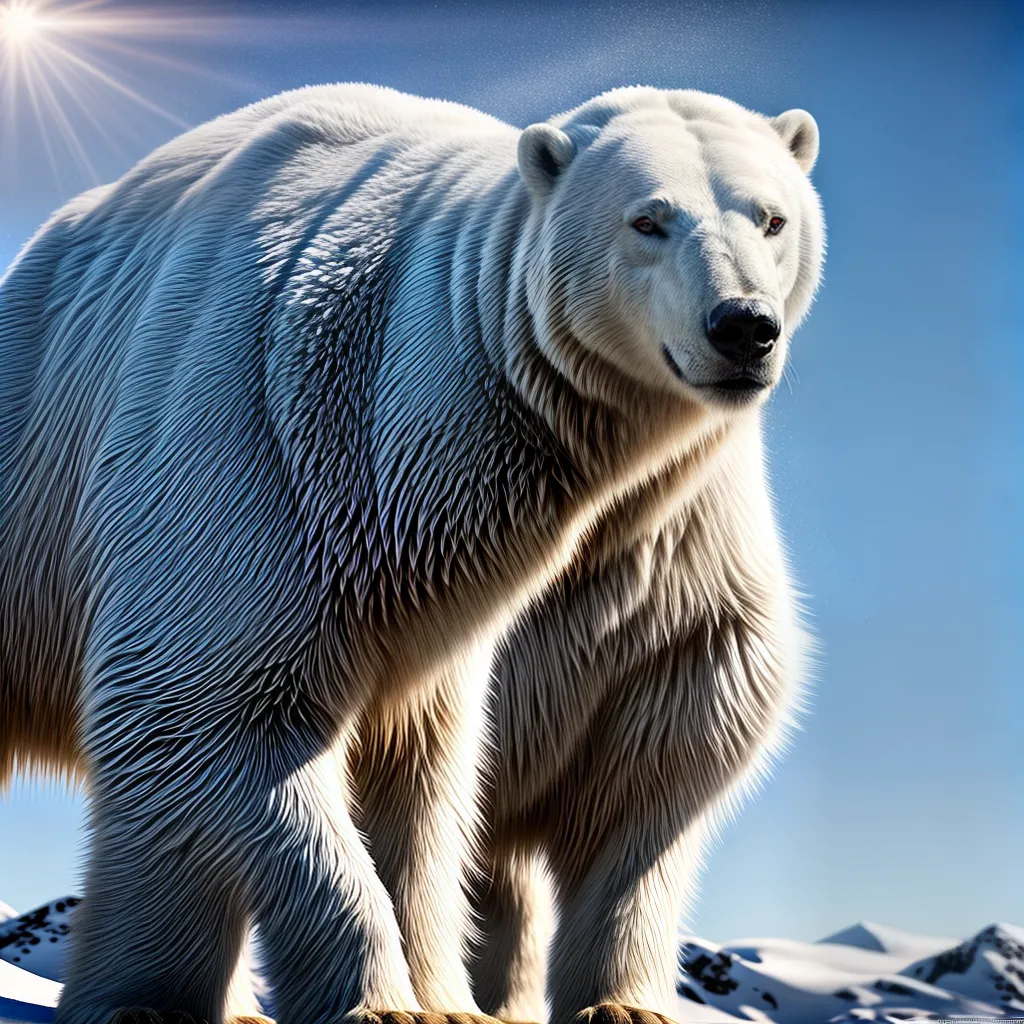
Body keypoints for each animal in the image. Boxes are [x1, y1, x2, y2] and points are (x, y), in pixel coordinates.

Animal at [0, 82, 823, 1024]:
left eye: (771, 217)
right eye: (648, 219)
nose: (743, 327)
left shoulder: (642, 596)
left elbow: (604, 778)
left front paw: (593, 1003)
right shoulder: (258, 454)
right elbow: (211, 702)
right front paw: (384, 1000)